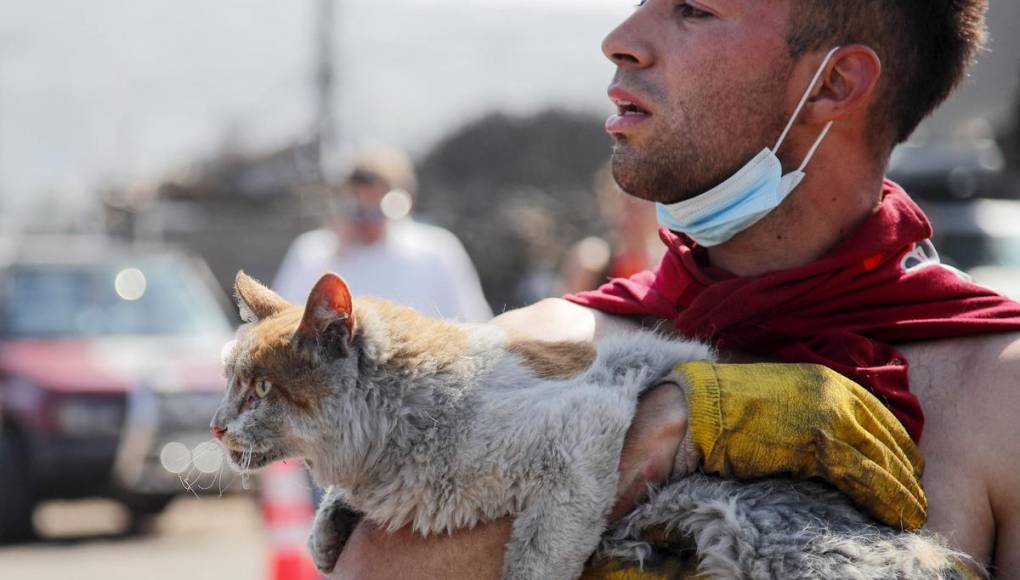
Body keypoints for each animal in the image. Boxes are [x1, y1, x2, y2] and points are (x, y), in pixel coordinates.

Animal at [211, 271, 975, 578]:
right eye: (227, 380)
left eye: (258, 389)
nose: (216, 425)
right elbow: (339, 509)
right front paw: (326, 531)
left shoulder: (581, 431)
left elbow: (537, 556)